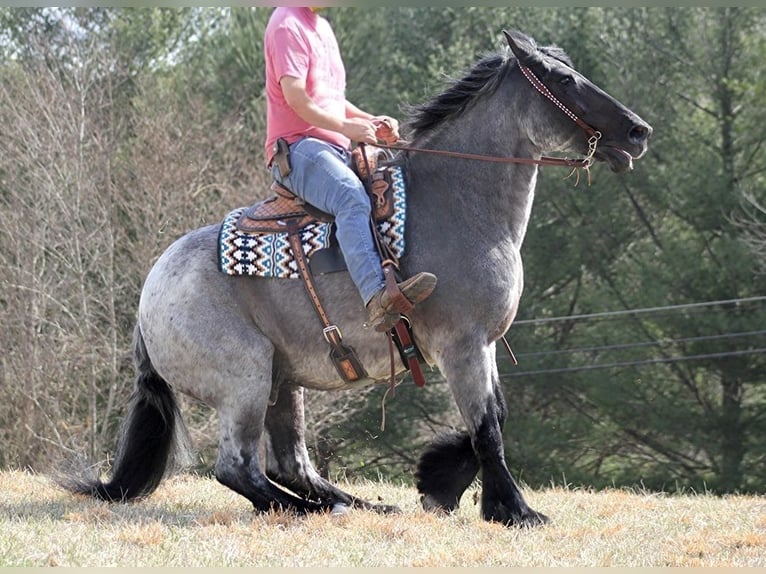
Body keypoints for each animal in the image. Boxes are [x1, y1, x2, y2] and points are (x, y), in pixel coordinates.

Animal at [64, 30, 656, 528]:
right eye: (563, 80)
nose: (638, 131)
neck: (457, 205)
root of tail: (150, 291)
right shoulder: (462, 345)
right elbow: (488, 426)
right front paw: (513, 509)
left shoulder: (481, 345)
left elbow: (497, 417)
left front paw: (441, 484)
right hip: (245, 379)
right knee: (239, 469)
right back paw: (313, 511)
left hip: (283, 383)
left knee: (289, 467)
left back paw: (359, 503)